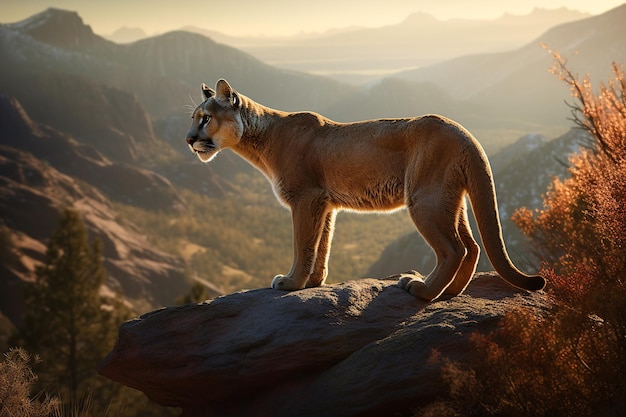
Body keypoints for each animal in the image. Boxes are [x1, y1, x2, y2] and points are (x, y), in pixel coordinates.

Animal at [183, 79, 544, 300]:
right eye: (194, 117)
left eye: (205, 118)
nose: (188, 139)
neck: (262, 138)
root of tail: (464, 132)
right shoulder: (324, 203)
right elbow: (321, 244)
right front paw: (314, 282)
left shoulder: (305, 197)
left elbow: (303, 243)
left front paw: (290, 283)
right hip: (449, 200)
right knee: (471, 246)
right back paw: (451, 292)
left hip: (425, 200)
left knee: (454, 249)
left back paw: (422, 290)